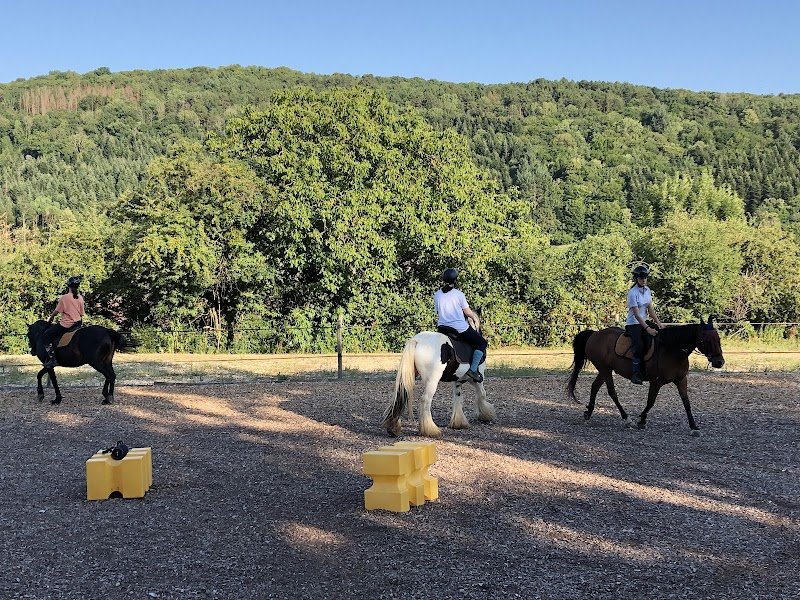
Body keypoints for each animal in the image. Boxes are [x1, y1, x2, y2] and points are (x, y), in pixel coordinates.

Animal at [566, 317, 725, 434]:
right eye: (706, 339)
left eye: (718, 339)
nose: (719, 362)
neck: (672, 349)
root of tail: (594, 334)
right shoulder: (656, 381)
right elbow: (651, 402)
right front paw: (641, 420)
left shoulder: (681, 380)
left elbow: (686, 402)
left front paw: (693, 426)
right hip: (605, 370)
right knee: (612, 392)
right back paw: (626, 419)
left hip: (604, 370)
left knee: (595, 387)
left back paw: (588, 412)